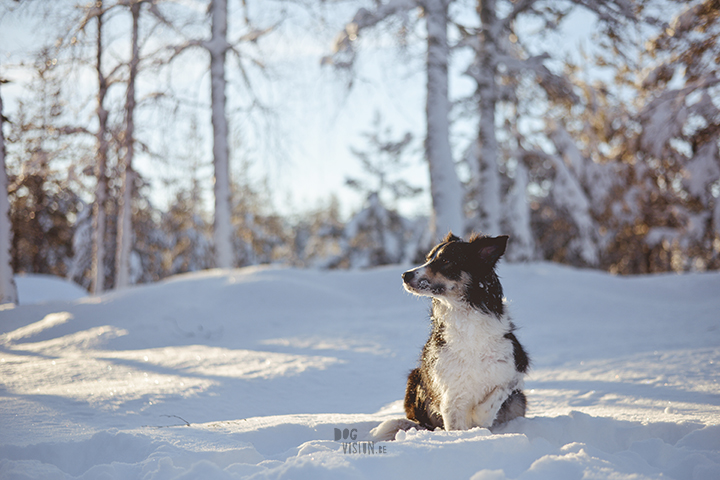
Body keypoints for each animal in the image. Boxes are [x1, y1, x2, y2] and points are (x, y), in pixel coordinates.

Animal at [372, 234, 528, 440]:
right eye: (428, 258)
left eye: (445, 260)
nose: (405, 275)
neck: (464, 316)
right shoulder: (451, 392)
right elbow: (455, 422)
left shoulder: (516, 365)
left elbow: (496, 395)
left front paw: (480, 420)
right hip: (414, 379)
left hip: (519, 401)